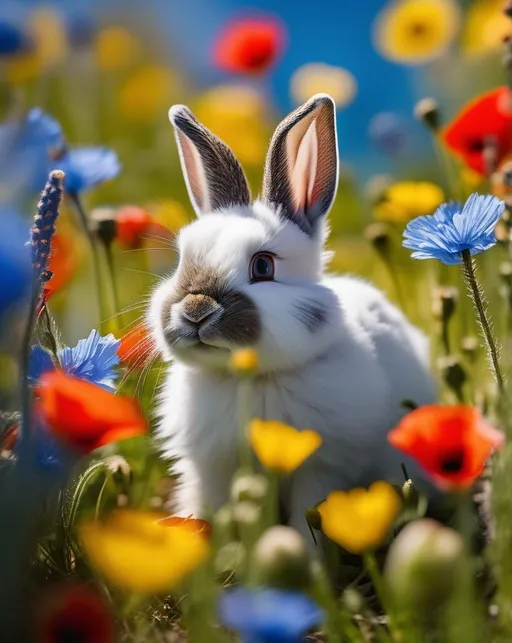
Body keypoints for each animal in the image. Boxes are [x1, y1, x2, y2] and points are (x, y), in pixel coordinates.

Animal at [148, 93, 436, 540]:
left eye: (263, 266)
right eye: (181, 261)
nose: (196, 311)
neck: (251, 377)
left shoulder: (322, 467)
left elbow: (309, 515)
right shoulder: (211, 469)